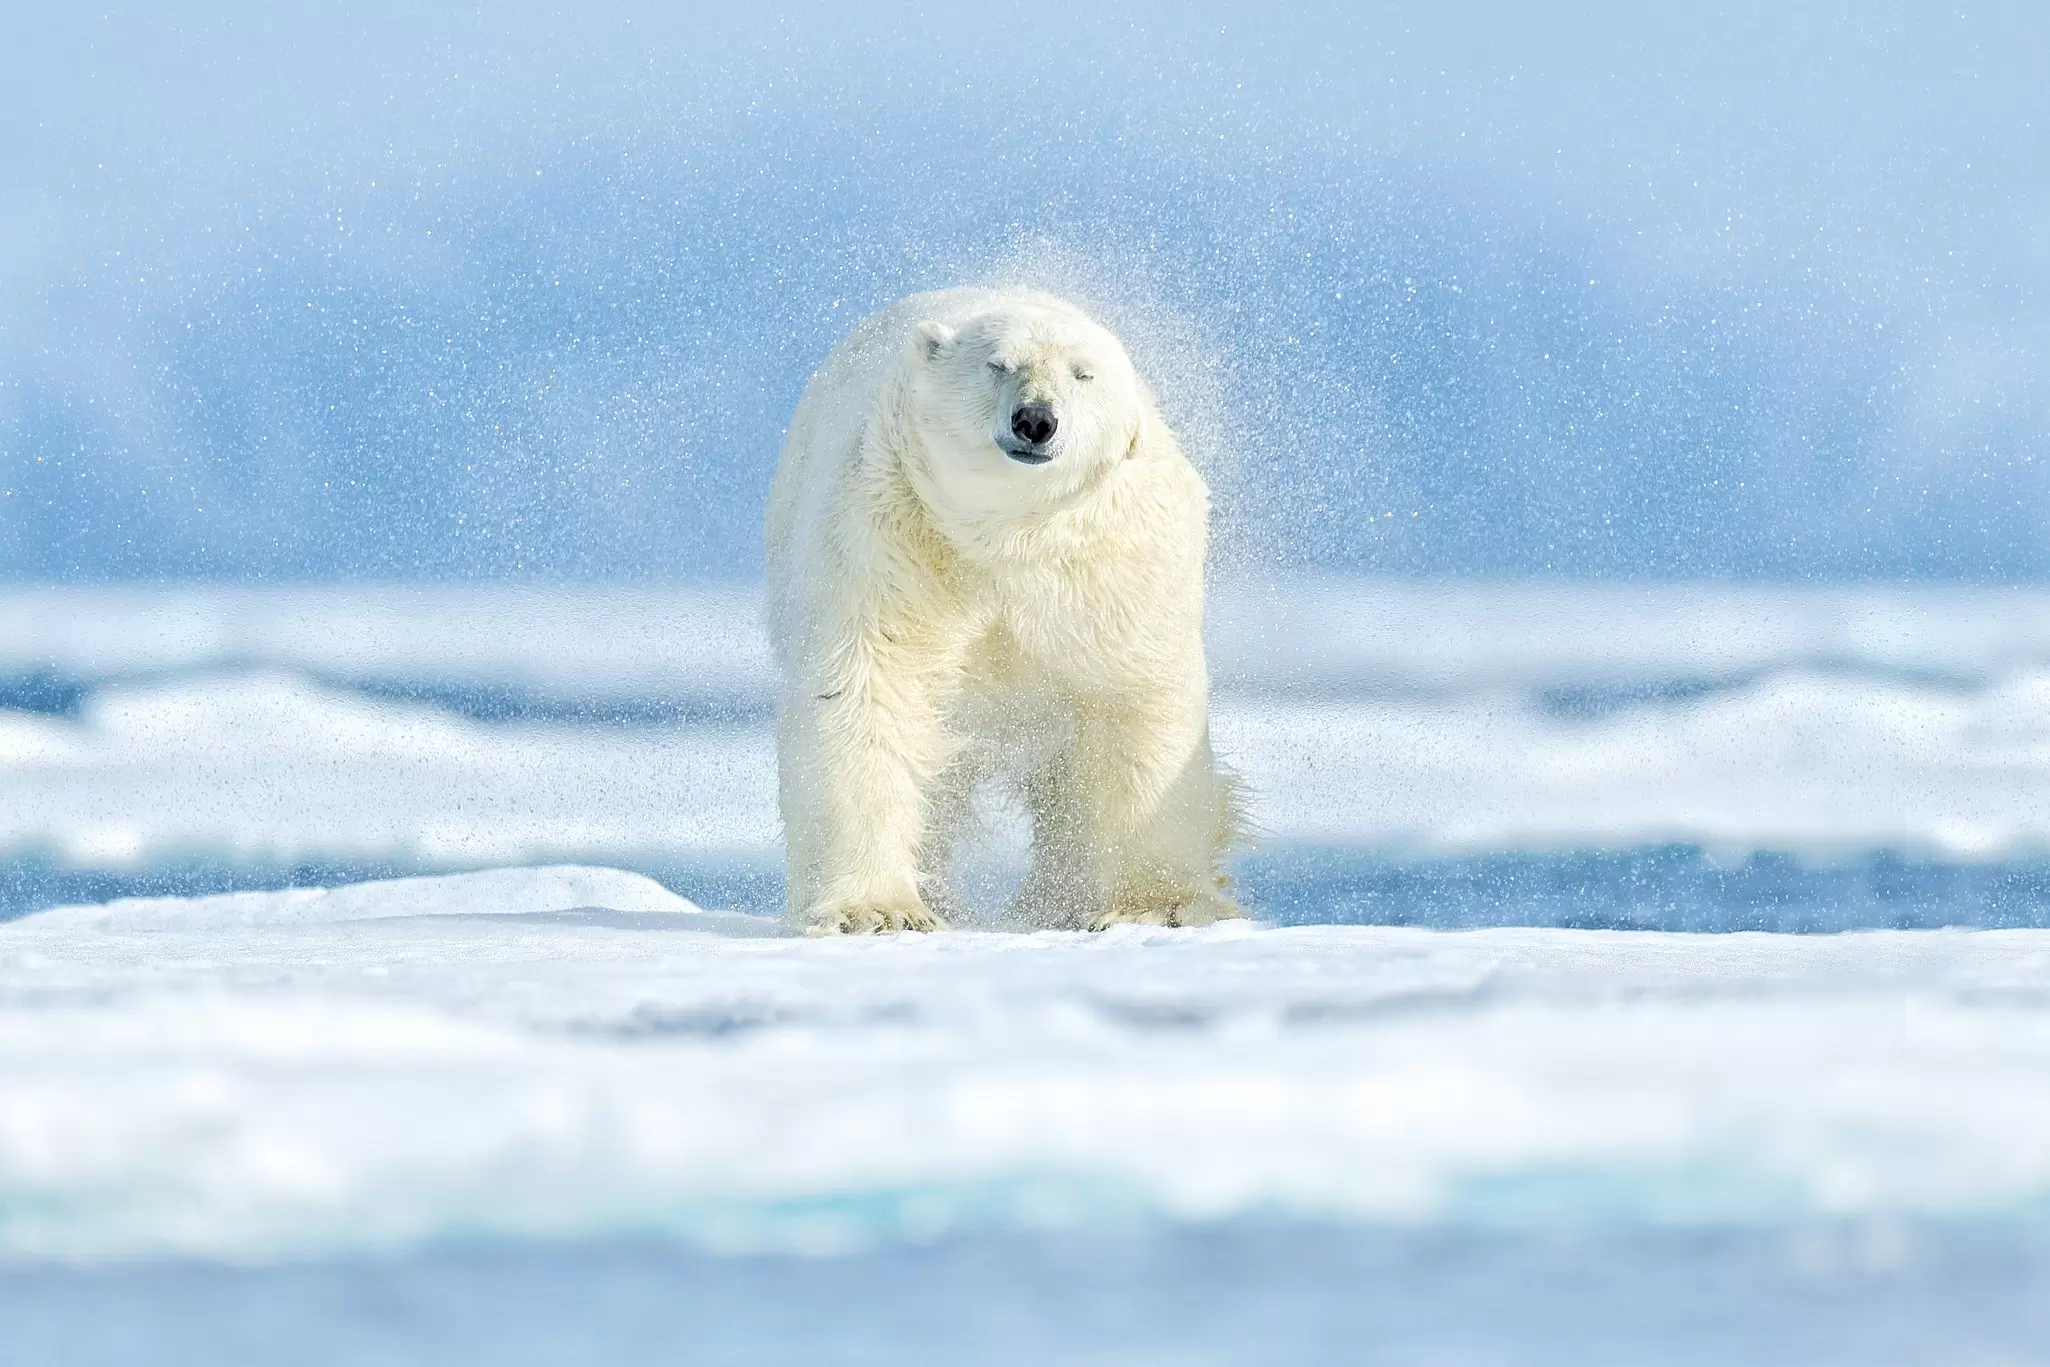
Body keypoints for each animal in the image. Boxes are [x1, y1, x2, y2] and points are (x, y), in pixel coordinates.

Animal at [765, 287, 1244, 935]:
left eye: (1083, 374)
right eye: (998, 364)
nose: (1036, 420)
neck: (1007, 536)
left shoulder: (1114, 564)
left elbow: (1136, 702)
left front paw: (1157, 908)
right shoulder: (888, 536)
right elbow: (869, 690)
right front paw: (879, 911)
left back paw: (1053, 904)